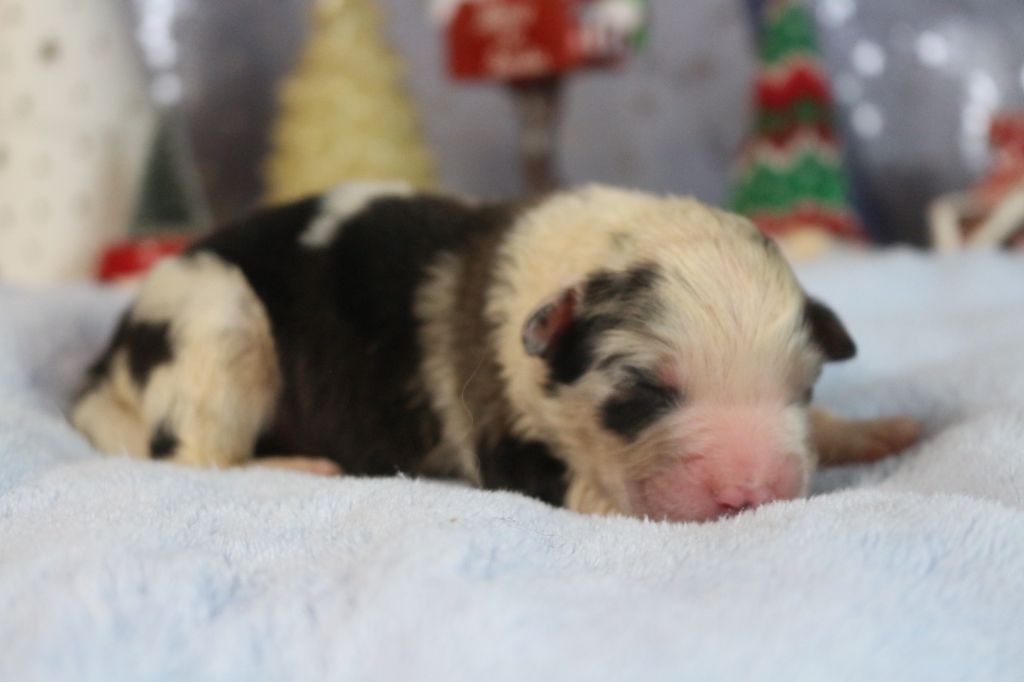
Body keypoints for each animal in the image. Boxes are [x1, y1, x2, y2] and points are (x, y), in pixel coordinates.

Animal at [74, 182, 921, 520]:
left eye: (803, 390)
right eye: (645, 392)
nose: (756, 492)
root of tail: (106, 361)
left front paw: (871, 430)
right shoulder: (497, 422)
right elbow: (574, 487)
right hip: (216, 320)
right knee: (193, 456)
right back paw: (294, 465)